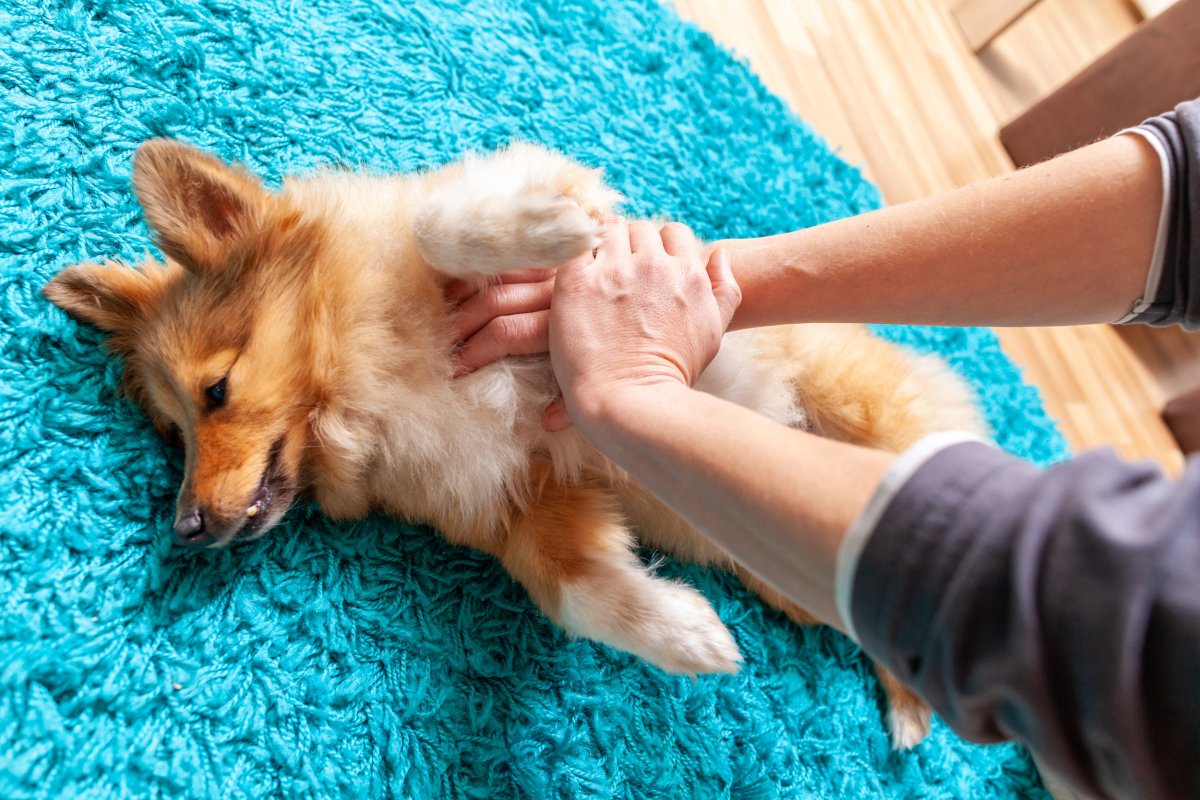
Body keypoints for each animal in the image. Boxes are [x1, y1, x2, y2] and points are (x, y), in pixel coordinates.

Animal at [44, 139, 984, 753]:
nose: (185, 529)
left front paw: (549, 225)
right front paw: (687, 634)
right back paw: (912, 705)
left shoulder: (529, 250)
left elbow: (440, 220)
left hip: (863, 416)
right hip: (806, 569)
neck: (362, 380)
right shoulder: (532, 502)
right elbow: (576, 592)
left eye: (216, 392)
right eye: (173, 433)